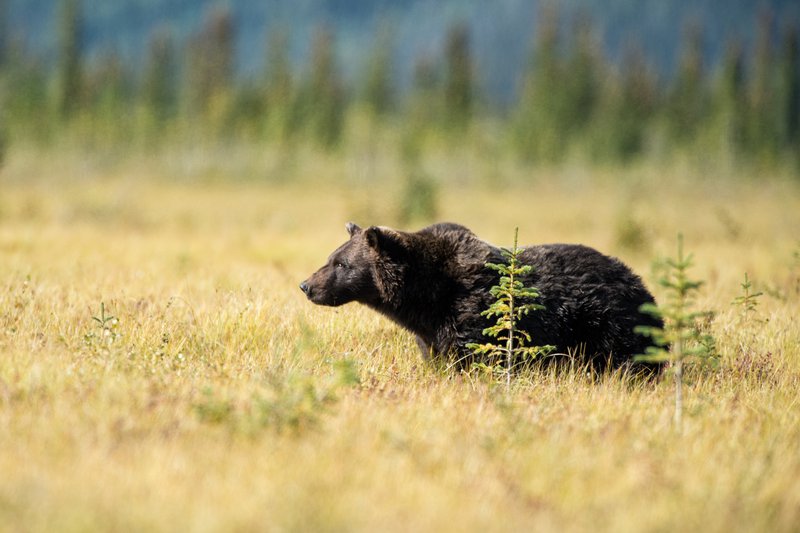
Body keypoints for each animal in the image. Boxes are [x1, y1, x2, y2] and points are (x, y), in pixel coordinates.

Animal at [300, 222, 662, 371]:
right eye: (331, 257)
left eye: (341, 263)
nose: (307, 285)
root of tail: (640, 284)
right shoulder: (433, 332)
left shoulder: (472, 315)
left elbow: (474, 358)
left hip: (608, 325)